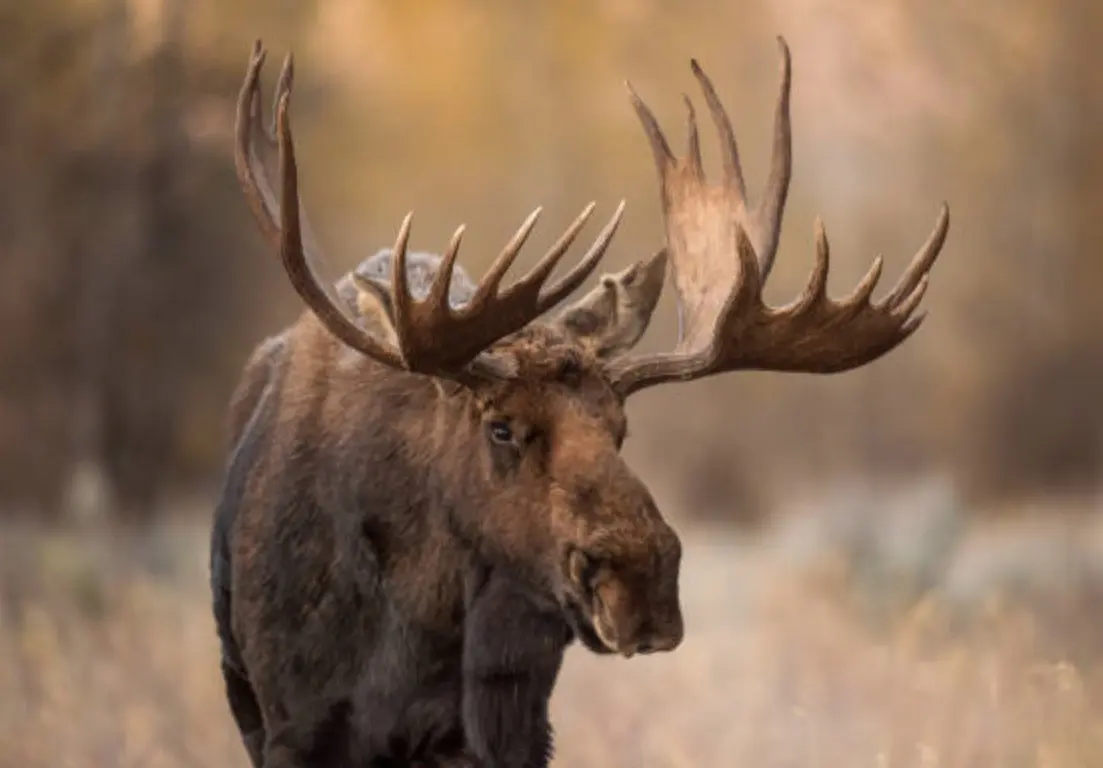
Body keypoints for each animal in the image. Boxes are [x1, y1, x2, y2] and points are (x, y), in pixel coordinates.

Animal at [212, 35, 948, 768]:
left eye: (620, 428)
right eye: (501, 427)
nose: (643, 581)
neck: (408, 632)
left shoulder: (507, 727)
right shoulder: (293, 725)